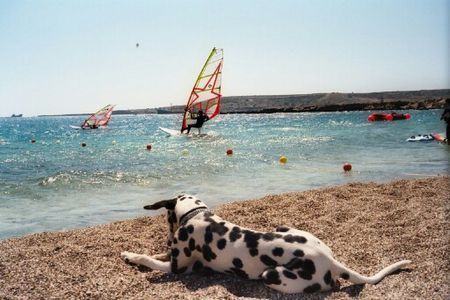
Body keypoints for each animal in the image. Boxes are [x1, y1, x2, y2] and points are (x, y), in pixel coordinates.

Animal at [120, 193, 412, 294]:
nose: (168, 238)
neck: (198, 215)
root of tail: (331, 262)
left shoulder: (179, 269)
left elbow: (149, 259)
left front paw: (132, 256)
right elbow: (155, 253)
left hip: (272, 274)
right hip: (283, 226)